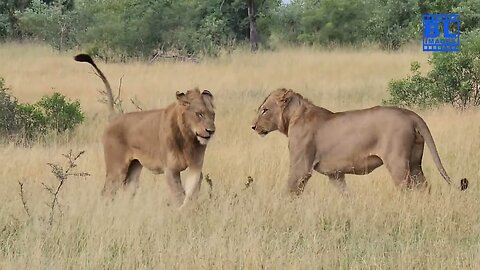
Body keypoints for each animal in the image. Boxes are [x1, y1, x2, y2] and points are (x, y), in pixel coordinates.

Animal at [74, 54, 215, 207]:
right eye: (199, 114)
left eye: (212, 115)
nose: (211, 131)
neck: (188, 138)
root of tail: (115, 117)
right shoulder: (170, 170)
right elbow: (178, 194)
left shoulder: (196, 166)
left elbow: (191, 192)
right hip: (116, 170)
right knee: (107, 192)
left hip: (134, 170)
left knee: (128, 191)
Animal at [251, 88, 468, 194]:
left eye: (265, 110)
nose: (252, 126)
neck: (294, 117)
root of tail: (411, 114)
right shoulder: (336, 174)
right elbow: (345, 194)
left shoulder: (301, 166)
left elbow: (291, 189)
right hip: (415, 163)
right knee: (424, 187)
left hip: (398, 162)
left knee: (407, 188)